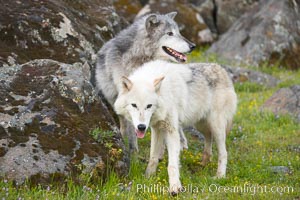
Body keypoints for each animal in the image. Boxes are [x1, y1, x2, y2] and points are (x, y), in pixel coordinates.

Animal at [95, 11, 196, 152]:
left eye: (179, 32)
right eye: (169, 33)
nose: (193, 46)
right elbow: (132, 125)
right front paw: (133, 149)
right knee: (124, 121)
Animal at [113, 60, 238, 195]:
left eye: (149, 106)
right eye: (134, 105)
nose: (141, 127)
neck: (164, 93)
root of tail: (222, 70)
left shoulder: (171, 130)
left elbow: (172, 165)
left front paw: (175, 187)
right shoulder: (156, 128)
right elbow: (153, 157)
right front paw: (148, 177)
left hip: (216, 126)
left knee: (223, 153)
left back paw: (220, 176)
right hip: (201, 125)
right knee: (208, 138)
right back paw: (204, 162)